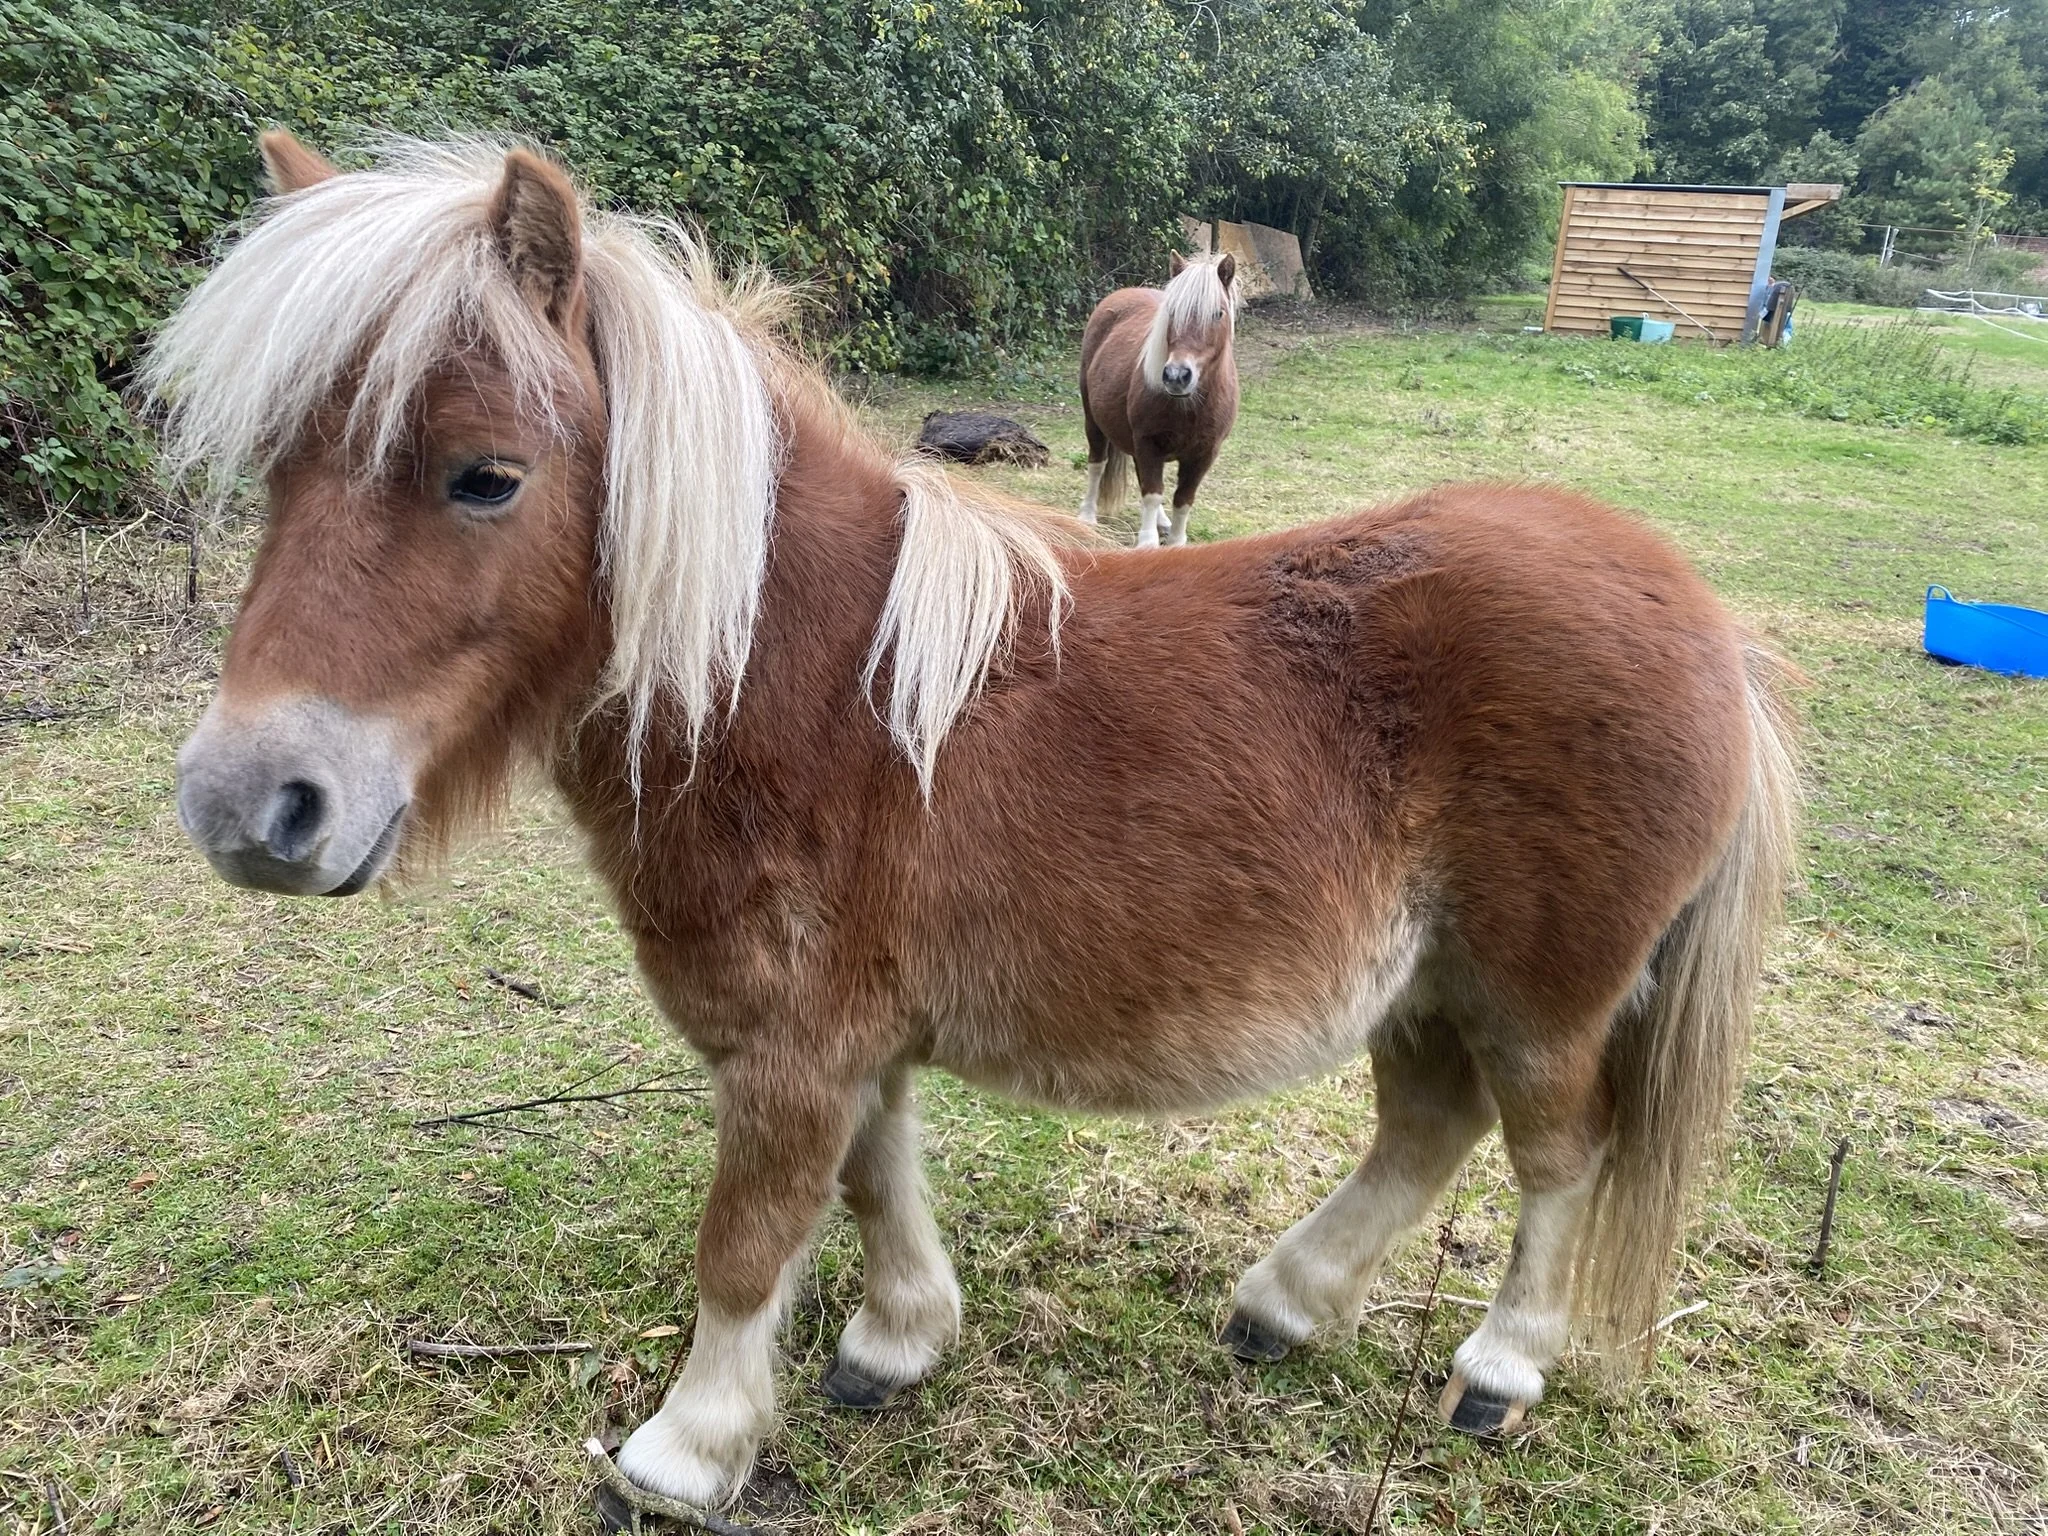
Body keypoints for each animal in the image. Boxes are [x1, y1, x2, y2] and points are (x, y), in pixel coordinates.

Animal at [1078, 251, 1239, 548]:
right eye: (1172, 312)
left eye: (1218, 313)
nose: (1177, 375)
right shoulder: (1147, 442)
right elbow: (1151, 492)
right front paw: (1147, 543)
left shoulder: (1204, 454)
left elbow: (1183, 499)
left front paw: (1175, 540)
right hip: (1093, 420)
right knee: (1097, 463)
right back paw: (1087, 516)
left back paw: (1162, 522)